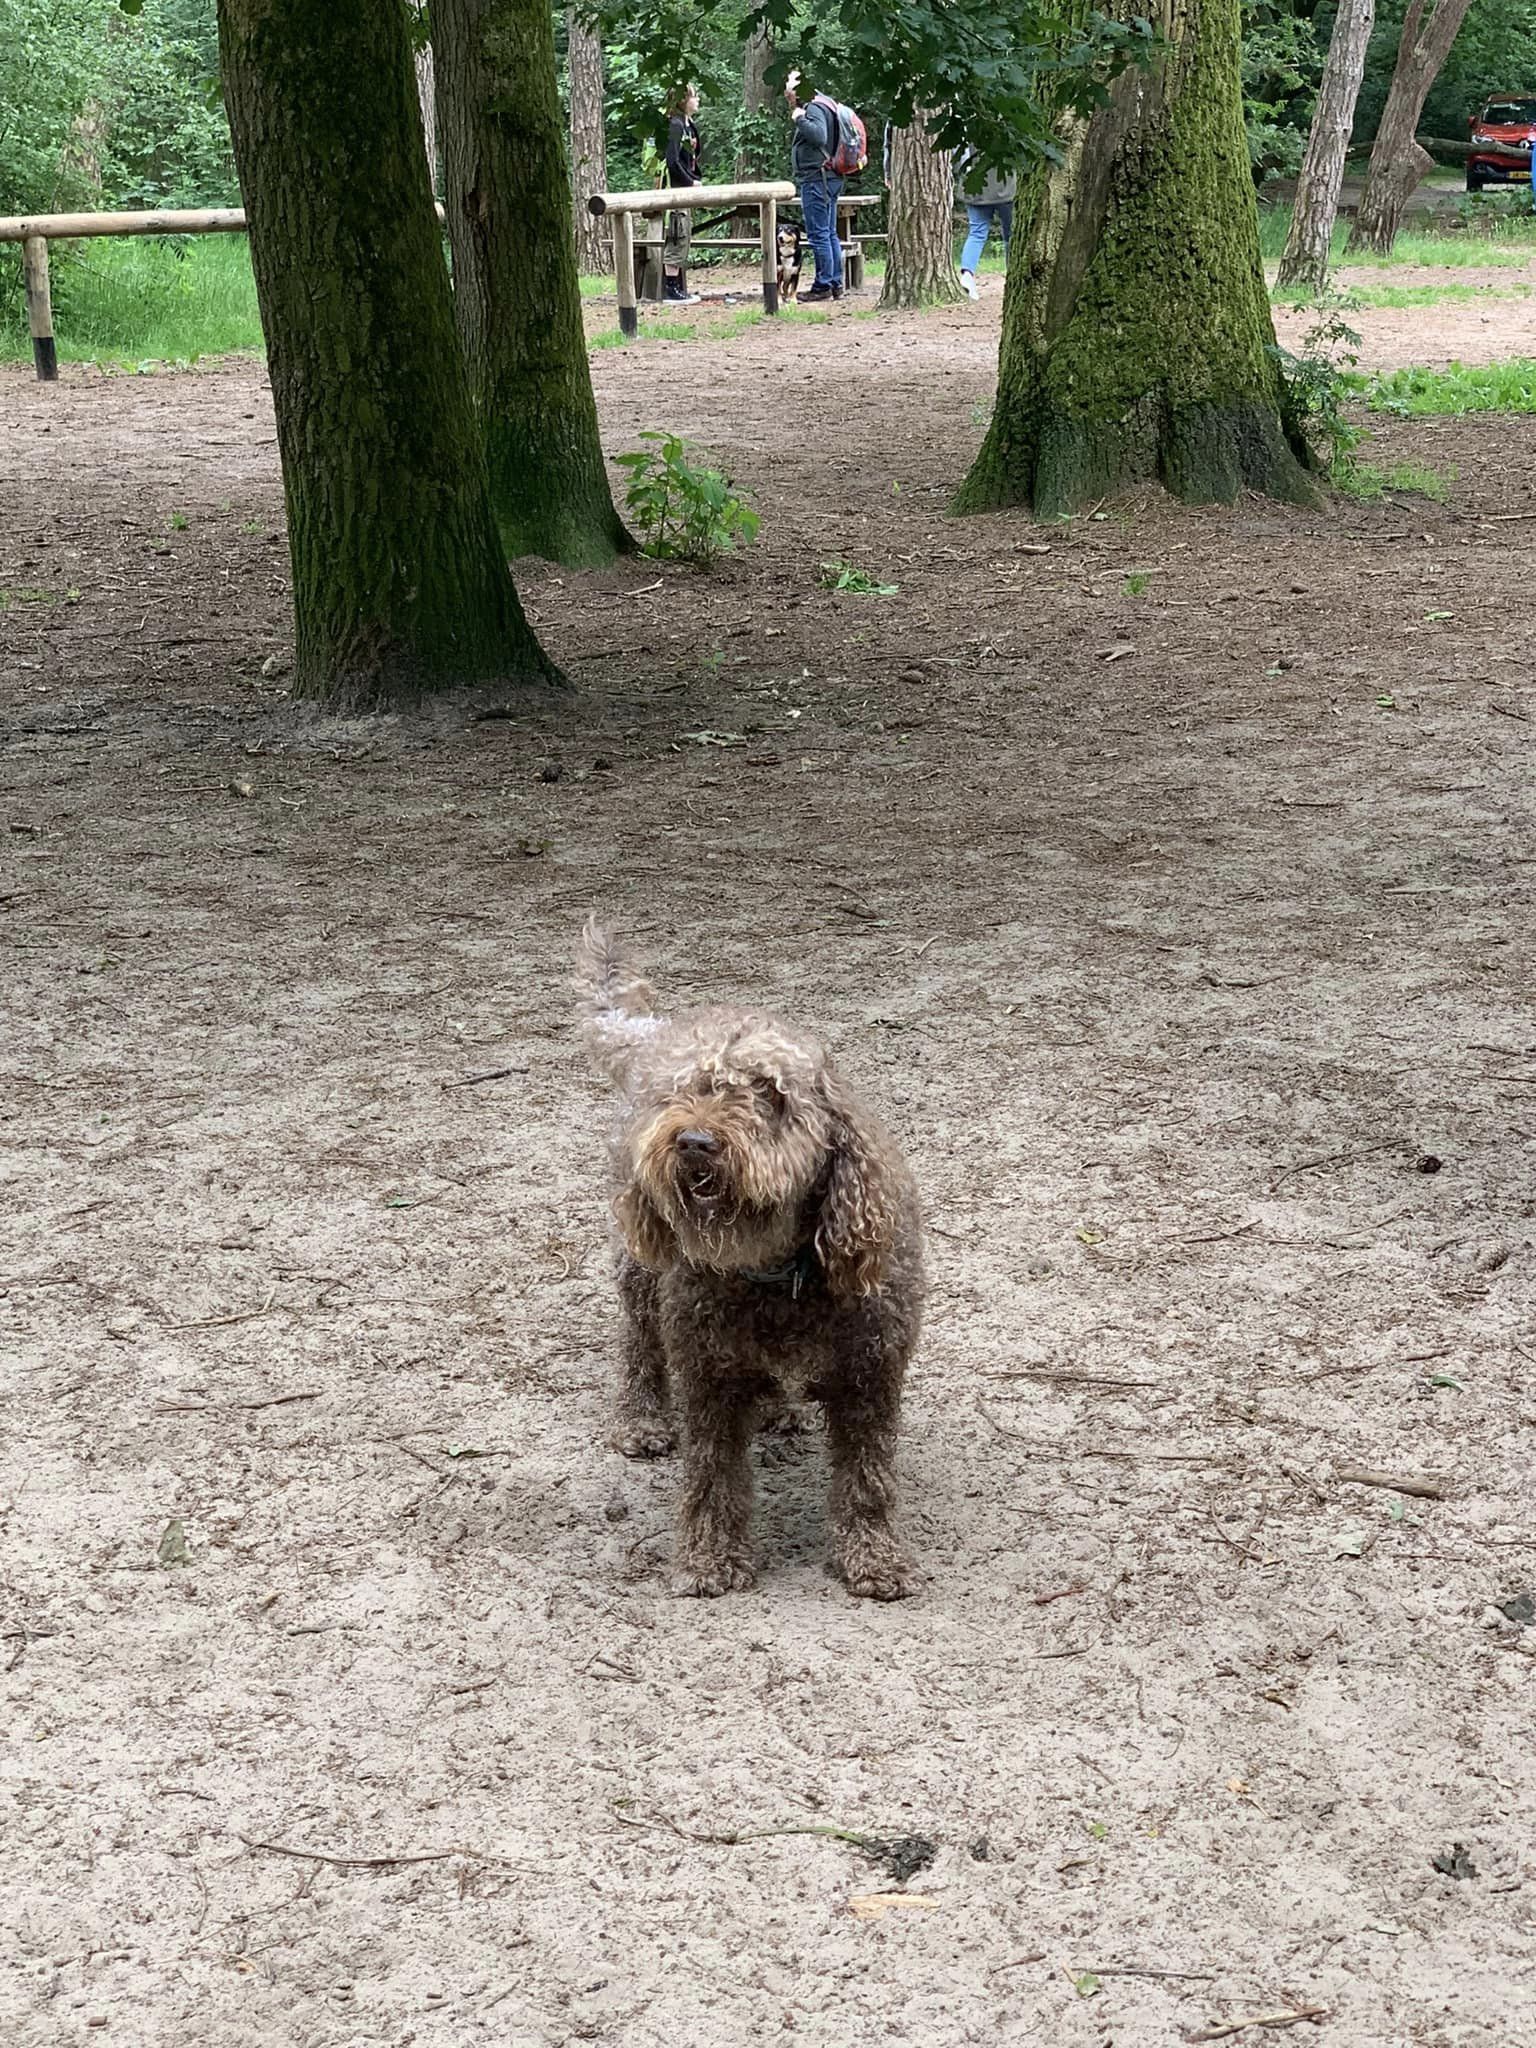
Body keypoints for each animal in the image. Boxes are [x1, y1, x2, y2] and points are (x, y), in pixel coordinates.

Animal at [581, 917, 925, 1597]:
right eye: (688, 1090)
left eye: (769, 1092)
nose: (693, 1141)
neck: (778, 1273)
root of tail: (657, 1034)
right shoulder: (707, 1376)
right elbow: (713, 1477)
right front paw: (711, 1559)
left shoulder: (871, 1377)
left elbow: (867, 1481)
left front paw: (873, 1558)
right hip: (640, 1267)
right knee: (638, 1339)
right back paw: (641, 1418)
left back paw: (778, 1410)